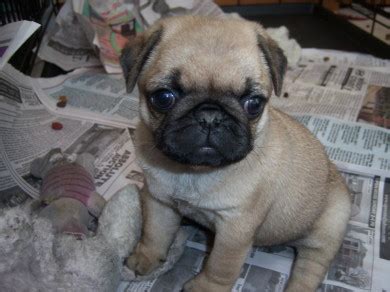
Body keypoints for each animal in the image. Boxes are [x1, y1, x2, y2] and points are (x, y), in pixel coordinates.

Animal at [120, 16, 352, 292]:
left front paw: (205, 288)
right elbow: (154, 234)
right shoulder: (159, 201)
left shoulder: (234, 229)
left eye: (254, 104)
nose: (210, 116)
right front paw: (145, 258)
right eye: (164, 97)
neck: (193, 172)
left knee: (310, 269)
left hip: (328, 229)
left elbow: (220, 266)